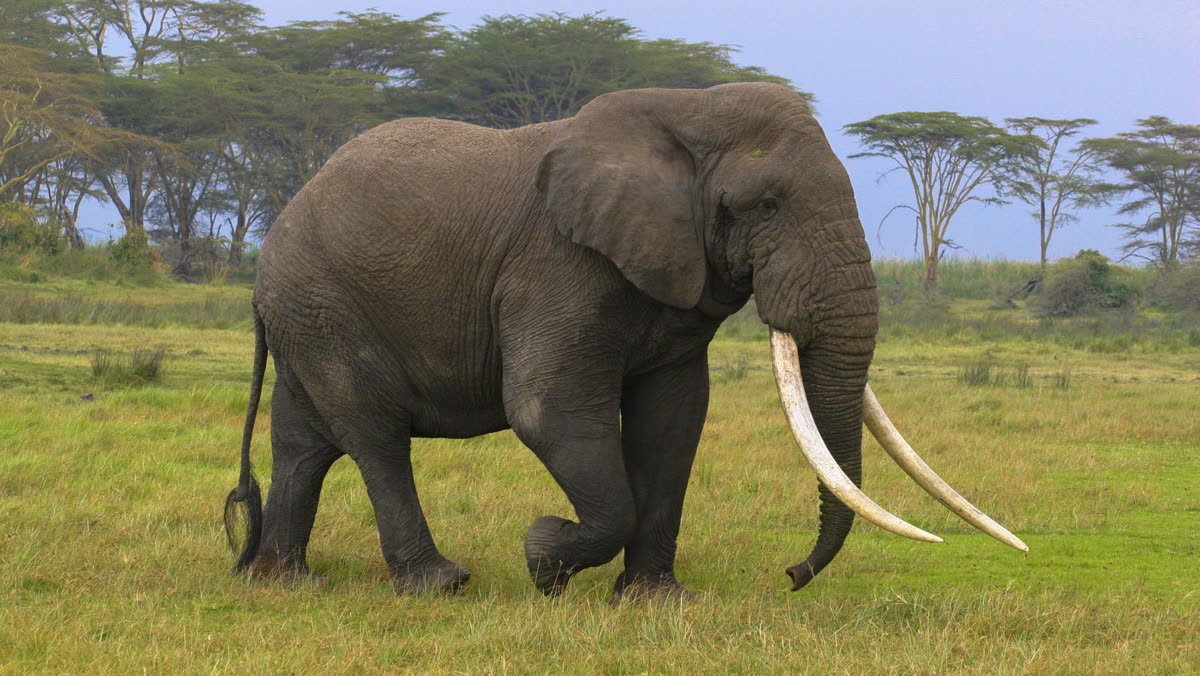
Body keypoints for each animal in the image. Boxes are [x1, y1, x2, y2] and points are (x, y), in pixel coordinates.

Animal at [224, 82, 1026, 600]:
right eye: (766, 205)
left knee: (304, 443)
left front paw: (654, 601)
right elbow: (548, 411)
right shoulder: (557, 264)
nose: (792, 576)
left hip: (309, 314)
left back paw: (283, 584)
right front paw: (543, 559)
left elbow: (673, 420)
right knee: (376, 437)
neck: (687, 111)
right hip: (325, 305)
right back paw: (439, 586)